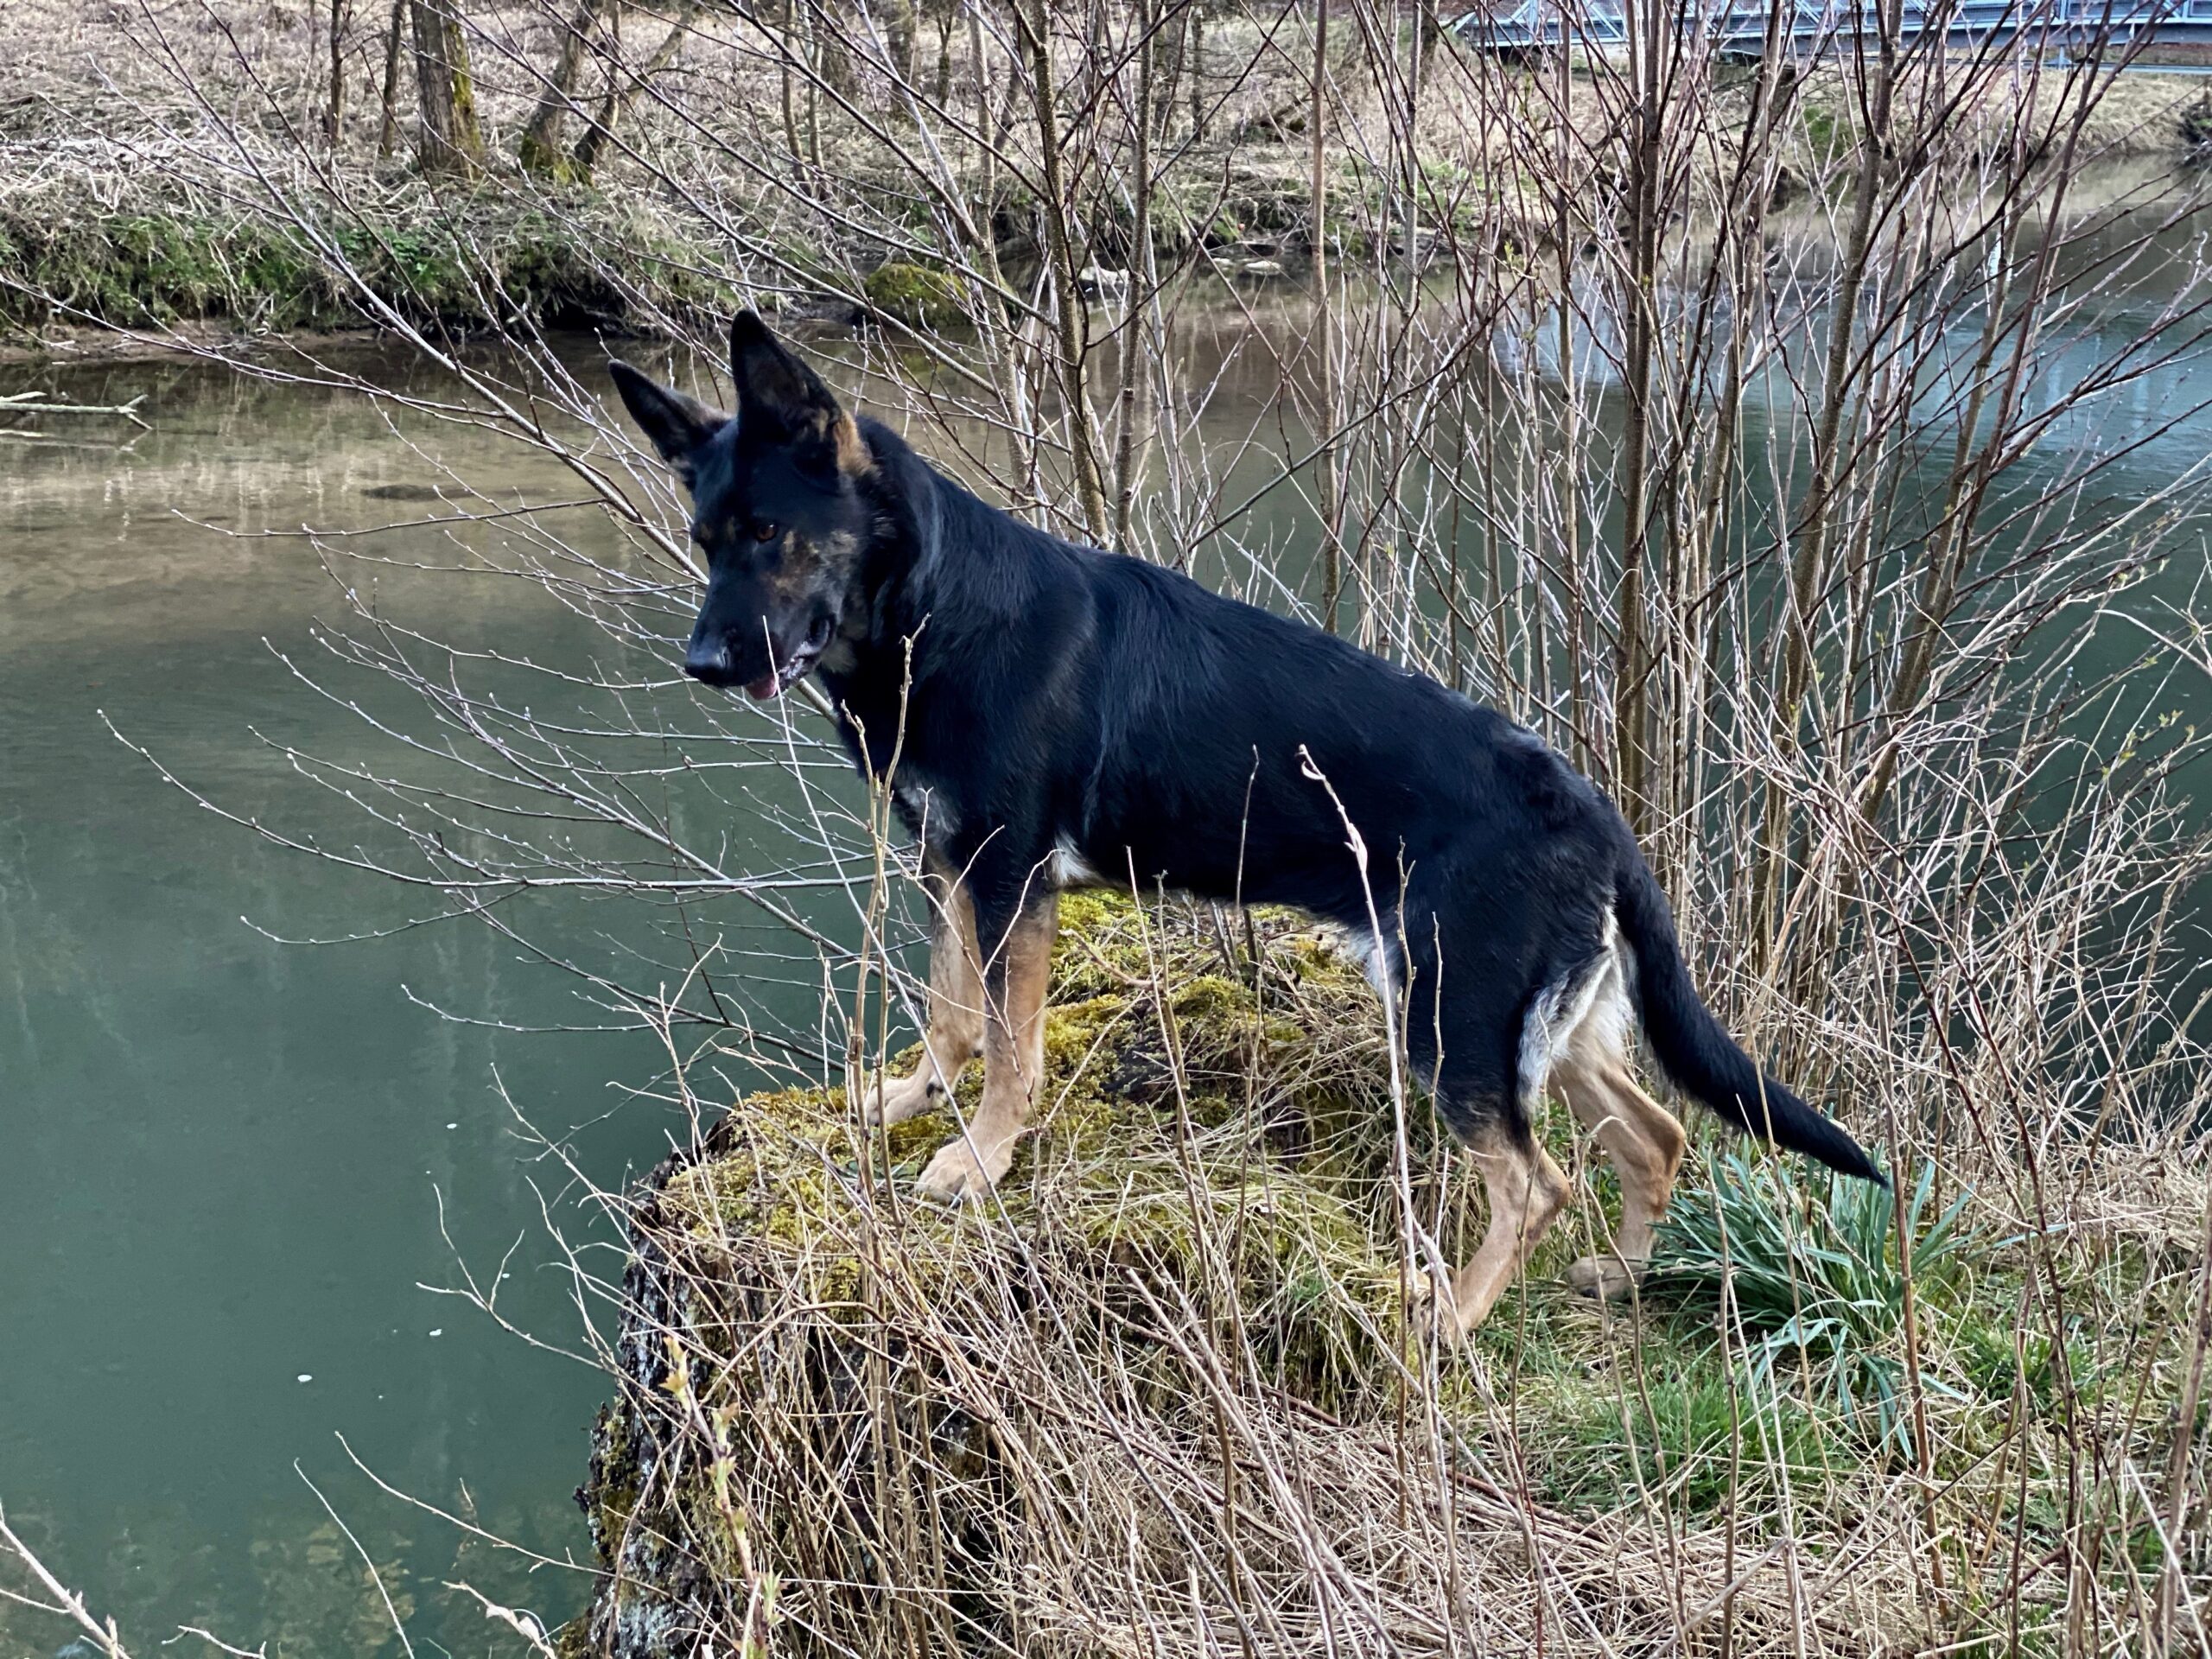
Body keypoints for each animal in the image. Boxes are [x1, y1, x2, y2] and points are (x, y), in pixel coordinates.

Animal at [610, 312, 1882, 1335]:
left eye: (769, 533)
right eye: (704, 541)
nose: (700, 663)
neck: (933, 610)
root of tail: (1598, 819)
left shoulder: (1010, 880)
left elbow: (1012, 1046)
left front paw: (979, 1159)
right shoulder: (949, 868)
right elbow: (954, 1014)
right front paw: (915, 1103)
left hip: (1449, 1017)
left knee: (1538, 1185)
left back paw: (1449, 1323)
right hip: (1536, 1023)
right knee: (1654, 1138)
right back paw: (1615, 1280)